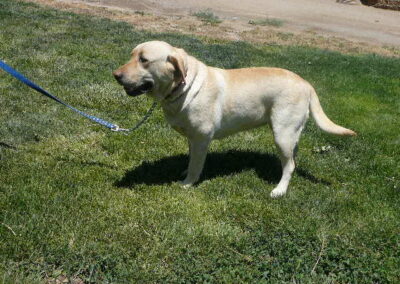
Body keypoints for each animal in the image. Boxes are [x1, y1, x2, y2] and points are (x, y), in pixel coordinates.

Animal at [113, 40, 356, 197]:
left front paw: (187, 182)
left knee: (289, 166)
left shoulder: (201, 138)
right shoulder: (192, 138)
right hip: (290, 134)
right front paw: (185, 171)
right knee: (292, 159)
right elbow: (191, 159)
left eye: (144, 60)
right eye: (132, 56)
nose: (115, 75)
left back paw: (280, 189)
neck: (183, 87)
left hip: (282, 133)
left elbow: (195, 165)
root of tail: (306, 83)